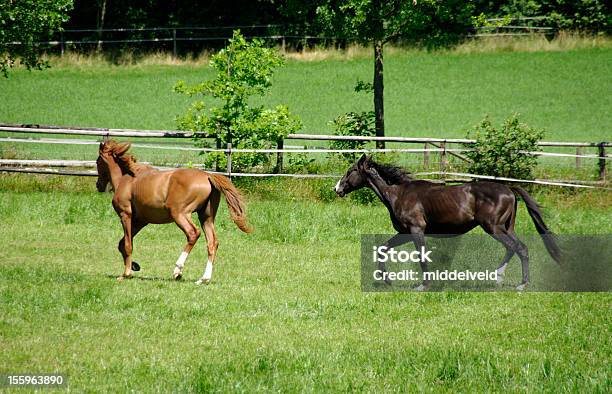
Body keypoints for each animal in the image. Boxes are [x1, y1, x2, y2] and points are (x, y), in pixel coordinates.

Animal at [95, 139, 251, 284]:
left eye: (97, 162)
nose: (98, 185)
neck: (126, 179)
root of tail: (207, 176)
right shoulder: (141, 221)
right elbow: (122, 244)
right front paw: (135, 266)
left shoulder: (125, 215)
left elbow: (127, 244)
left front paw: (126, 274)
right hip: (206, 217)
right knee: (212, 242)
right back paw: (203, 279)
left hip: (180, 214)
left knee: (193, 233)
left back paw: (178, 270)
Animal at [334, 155, 560, 290]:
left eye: (351, 171)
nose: (337, 189)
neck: (398, 194)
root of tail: (510, 190)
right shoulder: (404, 232)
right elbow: (383, 248)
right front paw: (387, 279)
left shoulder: (416, 230)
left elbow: (421, 257)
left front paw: (423, 285)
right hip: (506, 228)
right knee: (518, 248)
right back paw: (499, 277)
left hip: (493, 227)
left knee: (518, 248)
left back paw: (520, 284)